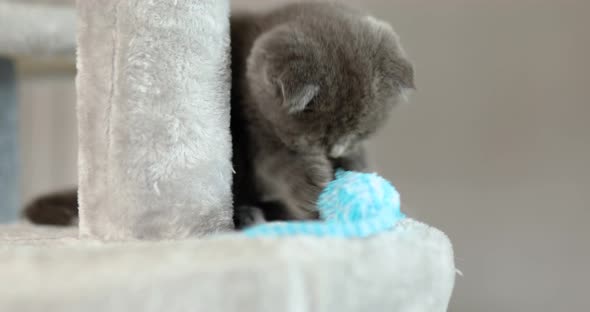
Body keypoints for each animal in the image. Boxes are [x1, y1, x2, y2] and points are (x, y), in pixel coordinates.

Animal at [24, 1, 416, 228]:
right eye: (312, 139)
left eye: (357, 135)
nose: (333, 152)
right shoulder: (253, 128)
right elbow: (277, 162)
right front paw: (311, 184)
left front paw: (355, 169)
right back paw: (247, 214)